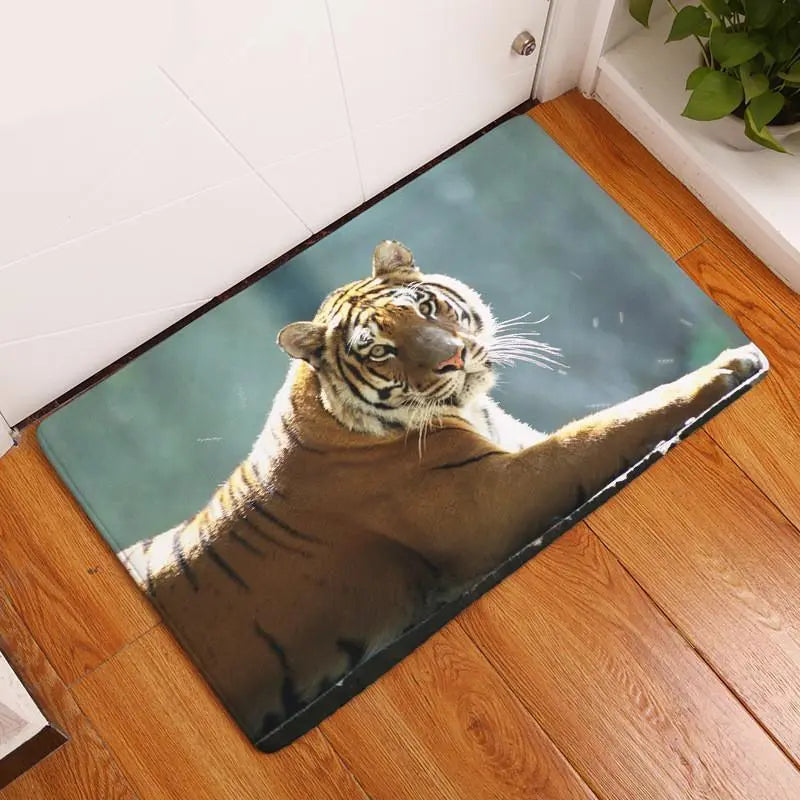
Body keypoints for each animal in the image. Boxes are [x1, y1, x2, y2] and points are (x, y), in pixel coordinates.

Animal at [119, 239, 765, 744]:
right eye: (380, 350)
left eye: (426, 306)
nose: (454, 357)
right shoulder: (495, 498)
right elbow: (606, 427)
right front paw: (731, 365)